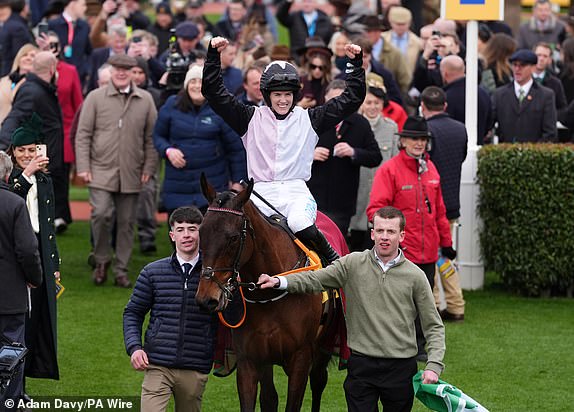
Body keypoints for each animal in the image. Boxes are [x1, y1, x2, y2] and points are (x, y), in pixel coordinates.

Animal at [196, 176, 338, 412]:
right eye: (200, 233)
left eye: (233, 238)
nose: (206, 298)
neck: (269, 297)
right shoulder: (250, 360)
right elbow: (262, 399)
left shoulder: (301, 358)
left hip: (324, 346)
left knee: (319, 381)